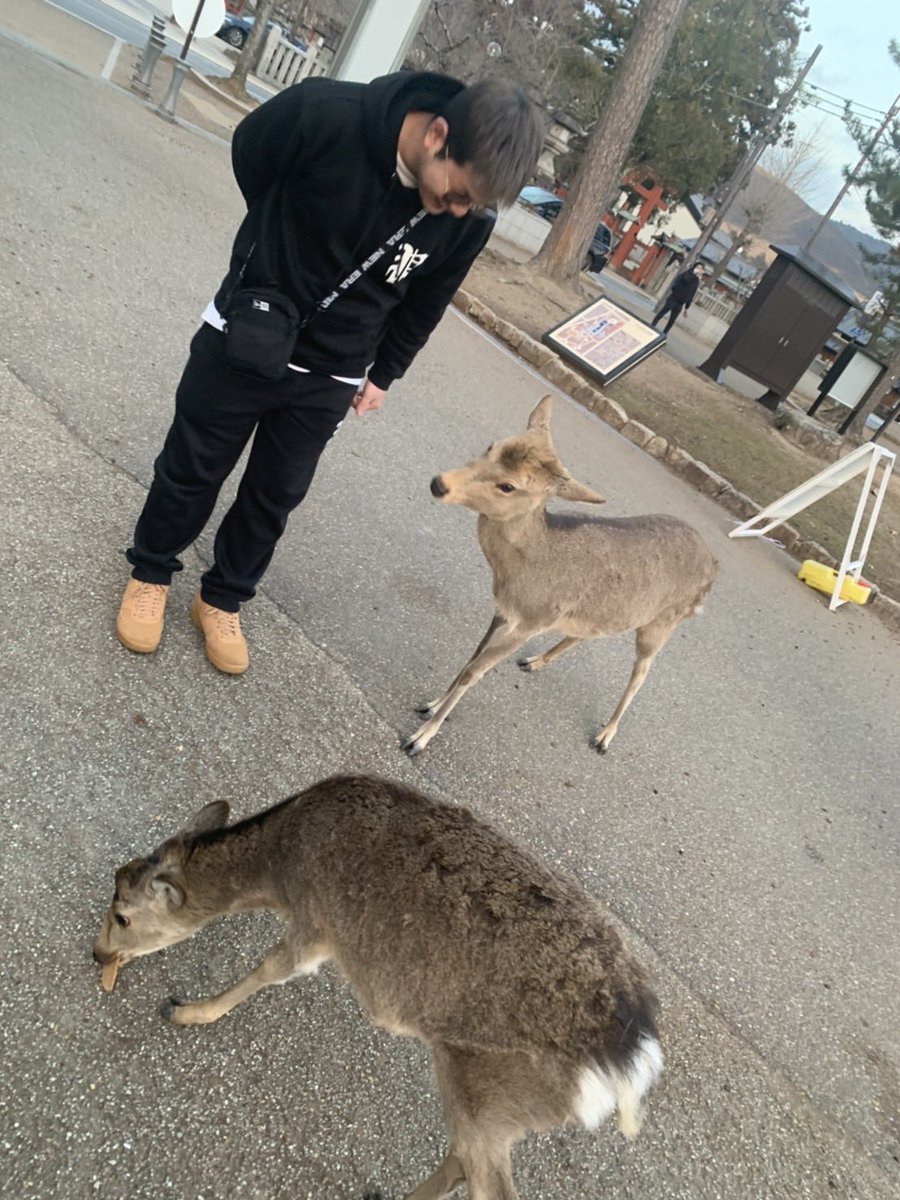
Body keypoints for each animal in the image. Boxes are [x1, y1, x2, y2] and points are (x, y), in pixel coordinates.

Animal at [94, 774, 663, 1200]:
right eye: (116, 875)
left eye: (122, 915)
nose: (98, 954)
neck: (280, 870)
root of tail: (635, 1059)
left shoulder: (318, 920)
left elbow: (270, 968)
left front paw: (186, 1011)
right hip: (500, 1108)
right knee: (460, 1159)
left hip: (484, 1085)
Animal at [401, 395, 717, 758]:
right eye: (493, 446)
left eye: (508, 486)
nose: (440, 484)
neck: (519, 572)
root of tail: (713, 566)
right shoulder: (502, 610)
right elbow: (473, 655)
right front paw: (430, 704)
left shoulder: (531, 621)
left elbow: (475, 671)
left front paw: (420, 738)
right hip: (614, 611)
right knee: (587, 633)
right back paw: (535, 661)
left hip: (662, 624)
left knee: (641, 671)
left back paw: (604, 736)